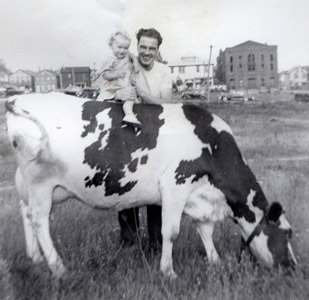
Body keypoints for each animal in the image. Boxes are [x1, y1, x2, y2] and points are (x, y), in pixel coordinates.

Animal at [4, 92, 294, 278]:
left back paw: (35, 258)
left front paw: (216, 261)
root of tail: (18, 98)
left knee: (24, 211)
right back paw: (58, 268)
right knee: (39, 221)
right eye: (288, 233)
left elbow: (205, 229)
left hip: (34, 184)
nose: (292, 266)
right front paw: (168, 272)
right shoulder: (176, 184)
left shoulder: (199, 195)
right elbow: (171, 232)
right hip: (40, 182)